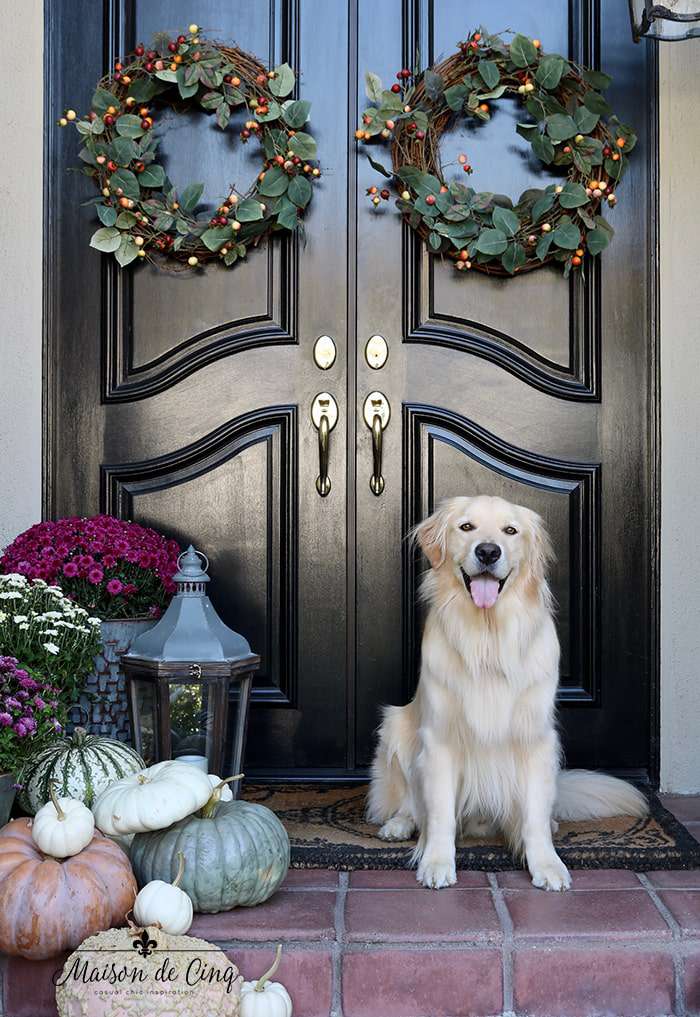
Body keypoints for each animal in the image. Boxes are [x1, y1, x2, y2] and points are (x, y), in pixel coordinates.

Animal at [368, 498, 647, 890]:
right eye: (466, 527)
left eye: (510, 531)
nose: (488, 551)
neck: (489, 636)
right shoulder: (439, 740)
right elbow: (439, 813)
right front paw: (436, 862)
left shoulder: (536, 739)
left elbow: (534, 815)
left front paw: (546, 864)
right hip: (395, 726)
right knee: (410, 801)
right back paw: (399, 824)